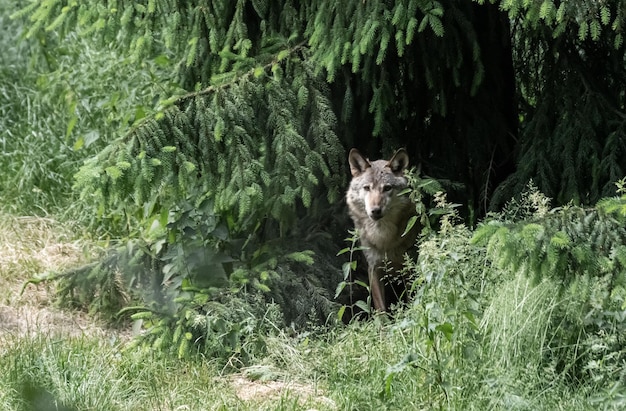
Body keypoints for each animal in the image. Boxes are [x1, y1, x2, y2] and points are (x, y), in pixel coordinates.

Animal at [344, 148, 416, 312]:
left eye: (387, 188)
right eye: (367, 188)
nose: (375, 210)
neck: (384, 238)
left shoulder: (409, 266)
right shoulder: (373, 269)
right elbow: (381, 309)